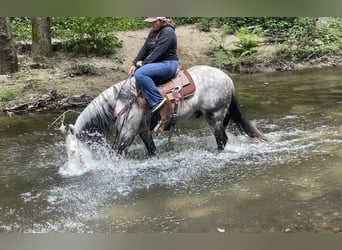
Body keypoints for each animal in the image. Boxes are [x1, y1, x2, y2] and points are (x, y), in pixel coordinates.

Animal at [65, 65, 268, 168]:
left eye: (74, 151)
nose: (74, 170)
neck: (122, 100)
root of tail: (227, 78)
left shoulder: (128, 131)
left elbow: (119, 153)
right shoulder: (142, 130)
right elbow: (151, 150)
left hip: (215, 116)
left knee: (221, 140)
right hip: (221, 116)